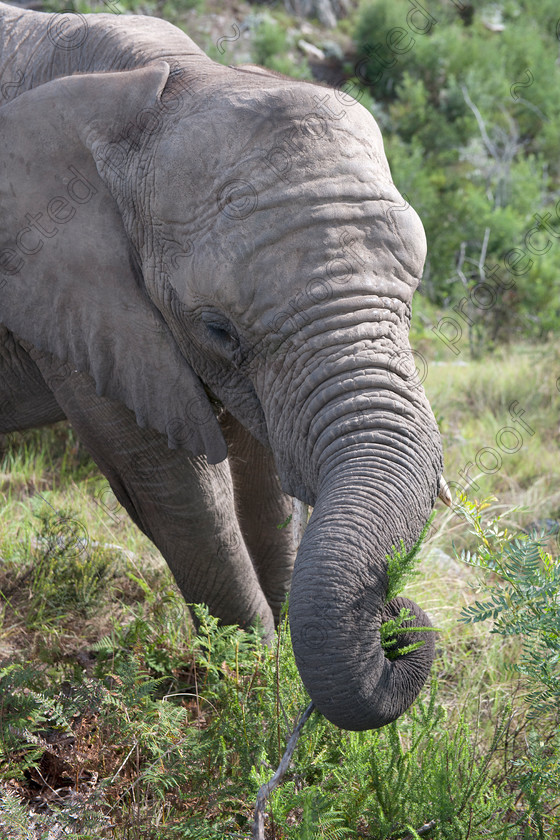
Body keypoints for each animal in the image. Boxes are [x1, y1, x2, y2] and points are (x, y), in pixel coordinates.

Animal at [0, 3, 446, 728]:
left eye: (412, 290)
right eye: (217, 327)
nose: (394, 619)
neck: (169, 81)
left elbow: (260, 476)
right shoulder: (63, 288)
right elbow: (173, 486)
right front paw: (247, 691)